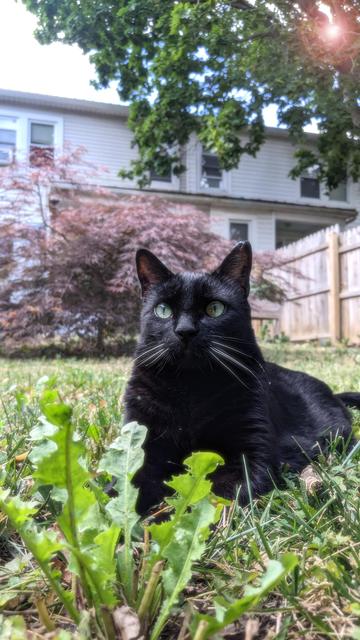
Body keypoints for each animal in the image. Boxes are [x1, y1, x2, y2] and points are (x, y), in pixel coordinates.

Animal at [123, 241, 358, 516]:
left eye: (215, 309)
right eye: (163, 310)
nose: (185, 331)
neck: (190, 387)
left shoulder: (249, 456)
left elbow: (212, 496)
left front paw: (166, 518)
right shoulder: (144, 447)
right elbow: (126, 485)